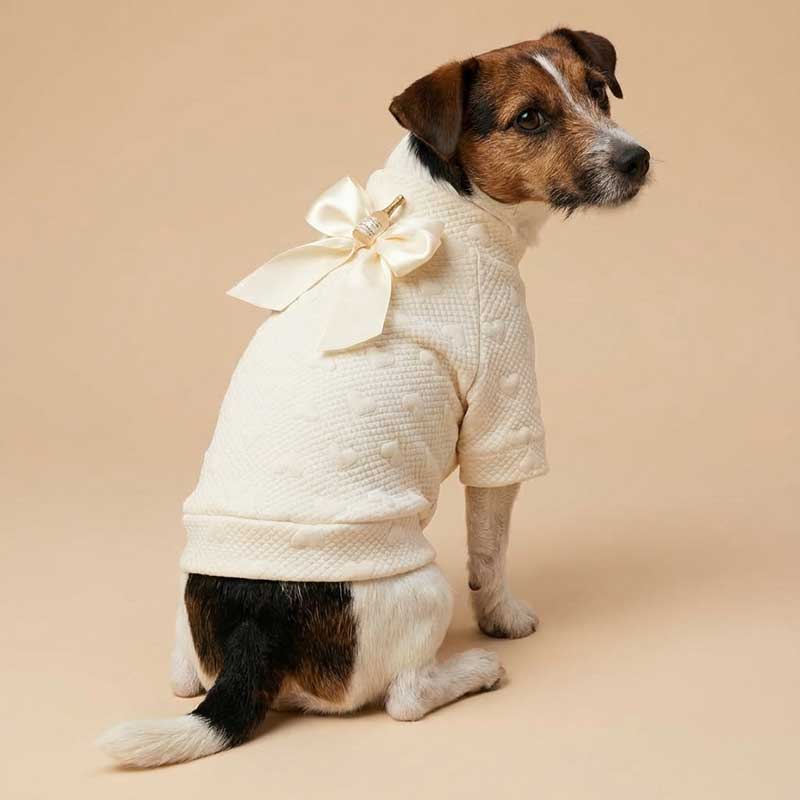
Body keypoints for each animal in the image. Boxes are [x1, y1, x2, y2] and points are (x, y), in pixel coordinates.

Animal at [98, 28, 649, 768]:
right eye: (530, 118)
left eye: (596, 89)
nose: (636, 159)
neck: (441, 209)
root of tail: (255, 629)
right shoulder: (502, 410)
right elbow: (490, 549)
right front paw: (503, 618)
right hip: (421, 588)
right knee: (405, 699)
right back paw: (473, 670)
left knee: (184, 674)